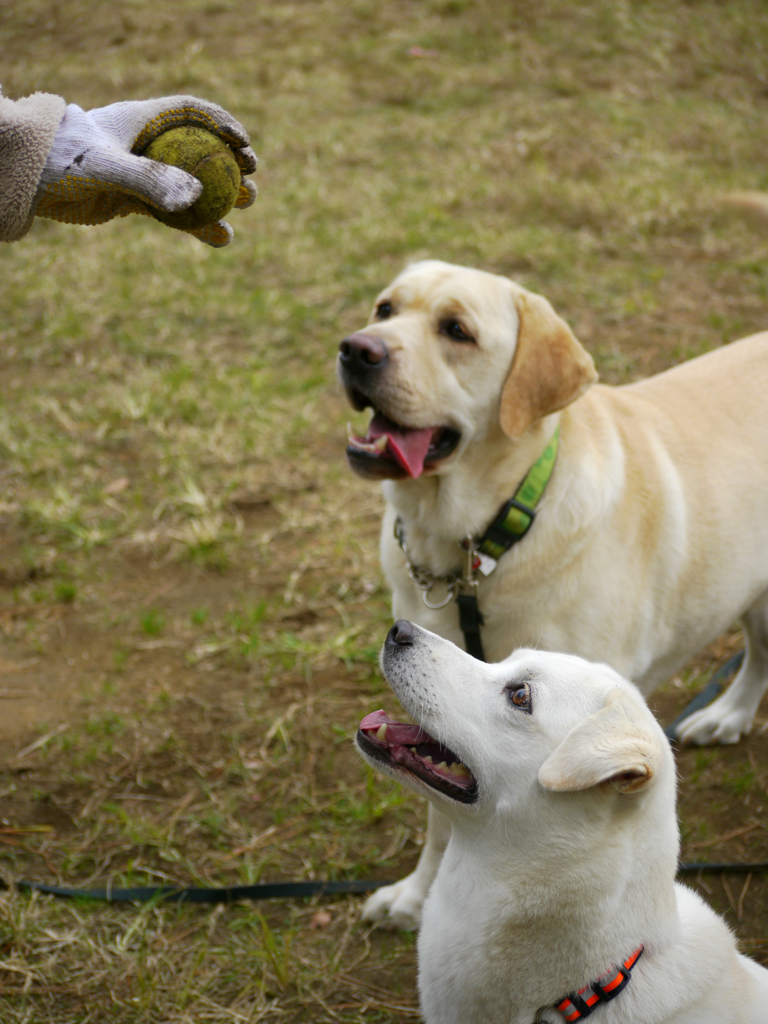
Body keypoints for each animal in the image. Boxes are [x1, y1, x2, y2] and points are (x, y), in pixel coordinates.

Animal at [337, 258, 768, 929]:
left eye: (457, 330)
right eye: (385, 309)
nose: (356, 350)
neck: (479, 546)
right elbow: (440, 813)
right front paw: (415, 897)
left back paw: (730, 712)